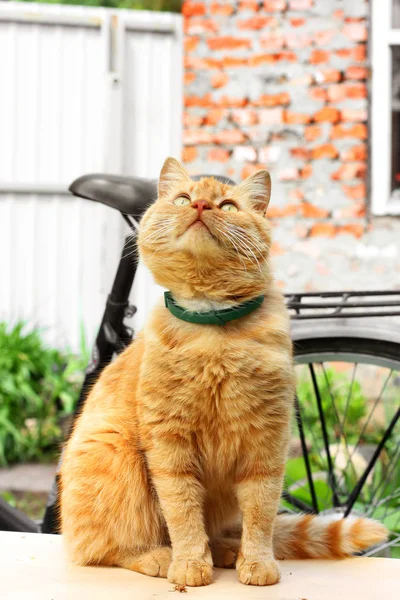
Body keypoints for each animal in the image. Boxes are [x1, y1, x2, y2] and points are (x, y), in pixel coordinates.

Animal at [60, 158, 388, 584]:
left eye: (228, 206)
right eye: (184, 199)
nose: (201, 206)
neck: (212, 330)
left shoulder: (266, 443)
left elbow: (261, 513)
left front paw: (257, 562)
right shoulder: (169, 445)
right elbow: (182, 512)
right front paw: (188, 563)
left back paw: (225, 549)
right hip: (114, 455)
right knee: (100, 549)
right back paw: (159, 556)